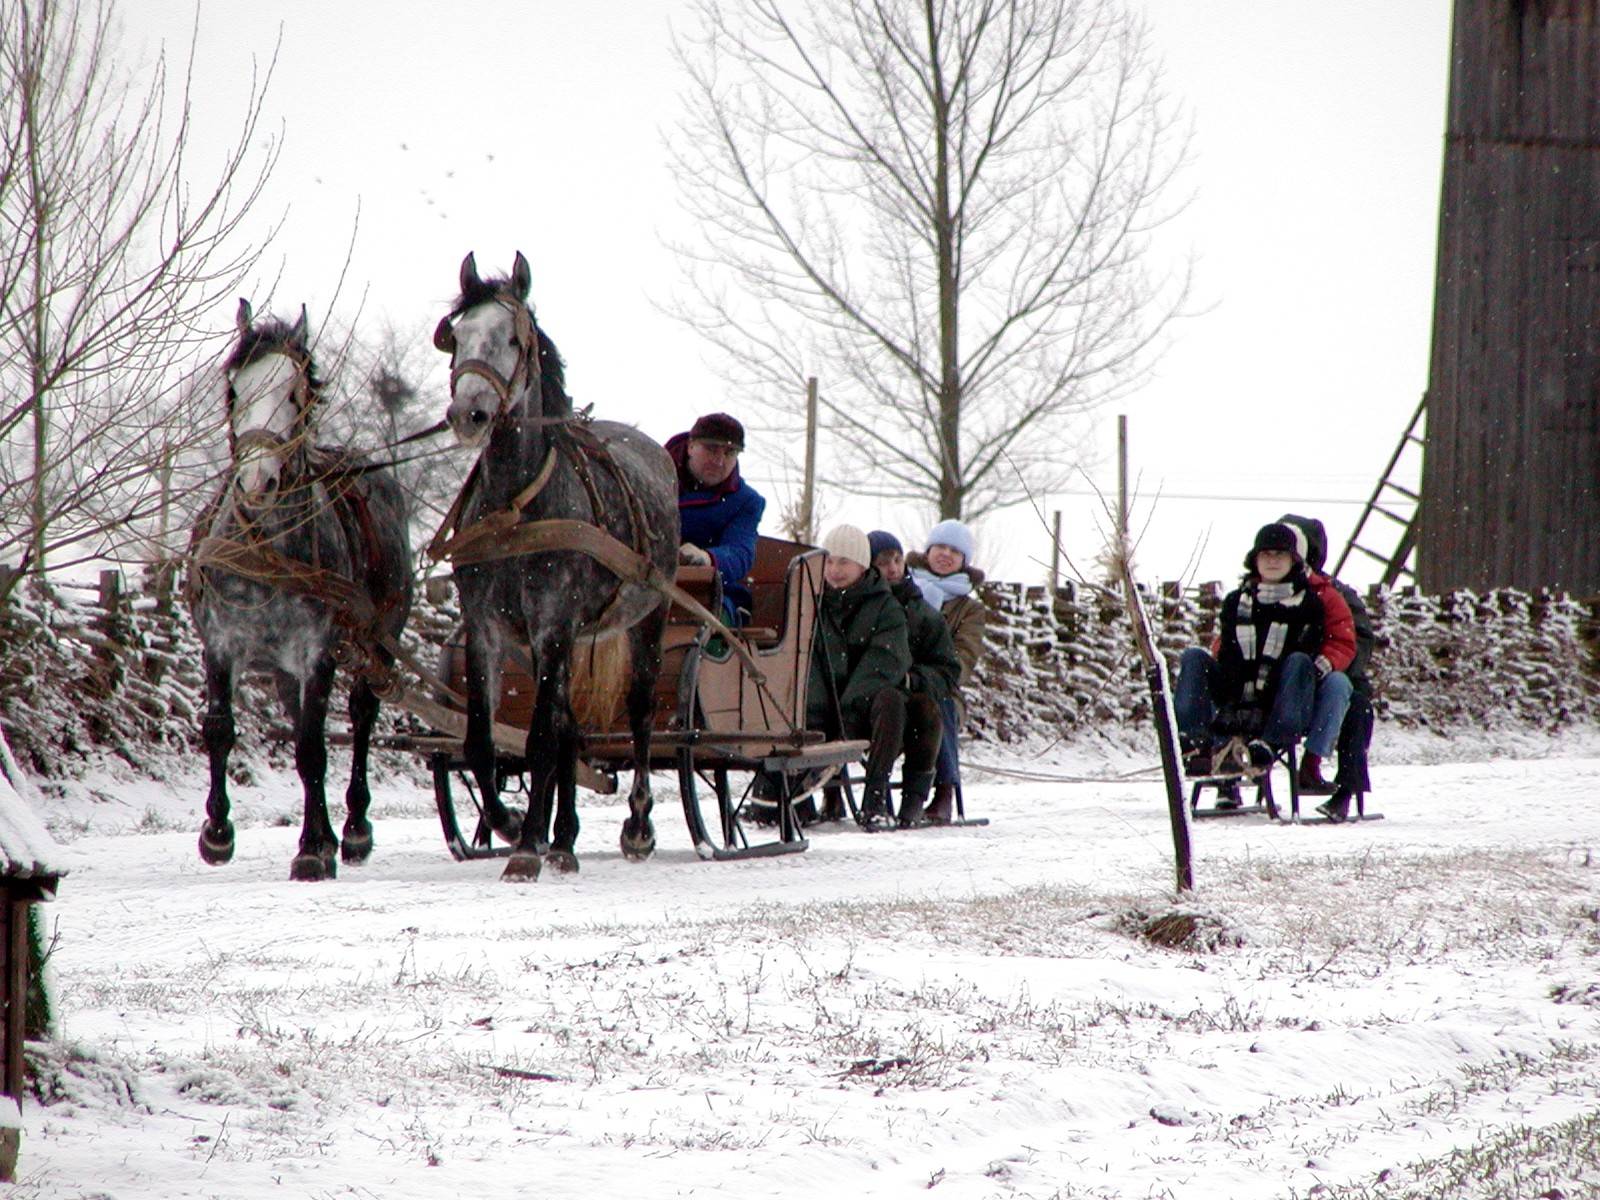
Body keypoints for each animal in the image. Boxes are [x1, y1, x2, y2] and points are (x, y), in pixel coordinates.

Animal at [188, 300, 416, 883]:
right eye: (234, 391)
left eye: (296, 393)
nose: (256, 482)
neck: (268, 550)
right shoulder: (219, 641)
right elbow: (220, 729)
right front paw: (217, 834)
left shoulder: (318, 650)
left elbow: (313, 748)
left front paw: (313, 848)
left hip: (376, 641)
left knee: (360, 718)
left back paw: (353, 831)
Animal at [432, 251, 675, 883]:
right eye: (455, 337)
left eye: (514, 340)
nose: (469, 414)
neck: (515, 508)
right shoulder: (488, 629)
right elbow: (484, 742)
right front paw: (517, 824)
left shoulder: (553, 624)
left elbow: (540, 737)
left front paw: (523, 849)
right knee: (569, 725)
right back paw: (562, 839)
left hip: (648, 616)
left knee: (640, 713)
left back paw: (637, 826)